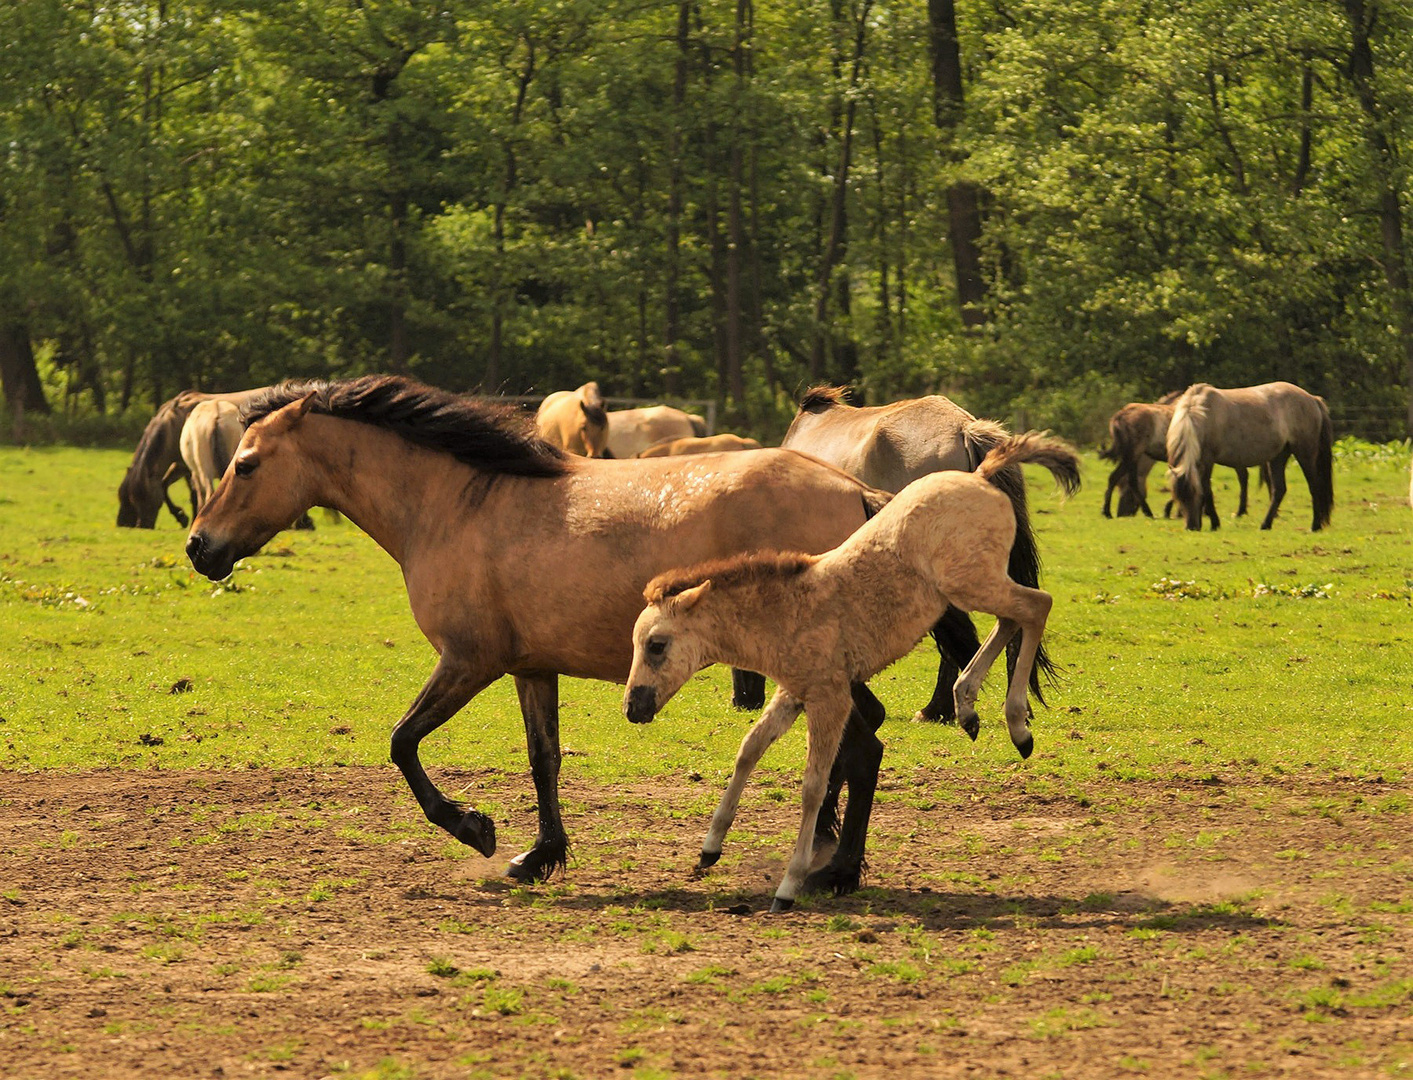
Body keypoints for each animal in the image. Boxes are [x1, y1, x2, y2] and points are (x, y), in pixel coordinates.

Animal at [1164, 378, 1328, 531]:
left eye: (1195, 494)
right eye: (1179, 497)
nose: (1191, 527)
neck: (1201, 414)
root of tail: (1312, 398)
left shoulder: (1208, 461)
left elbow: (1207, 490)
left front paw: (1215, 522)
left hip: (1304, 454)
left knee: (1314, 487)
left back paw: (1315, 526)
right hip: (1278, 457)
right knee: (1279, 490)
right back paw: (1265, 524)